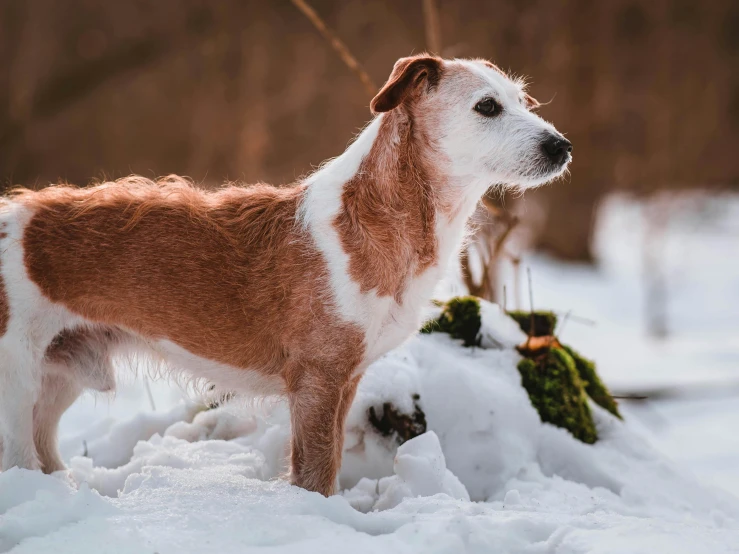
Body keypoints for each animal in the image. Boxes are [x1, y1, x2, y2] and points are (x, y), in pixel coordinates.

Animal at [0, 55, 572, 496]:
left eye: (524, 101)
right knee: (21, 456)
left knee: (44, 447)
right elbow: (314, 471)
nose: (561, 146)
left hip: (60, 374)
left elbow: (330, 462)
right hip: (16, 377)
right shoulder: (316, 380)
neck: (378, 218)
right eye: (487, 106)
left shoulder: (346, 381)